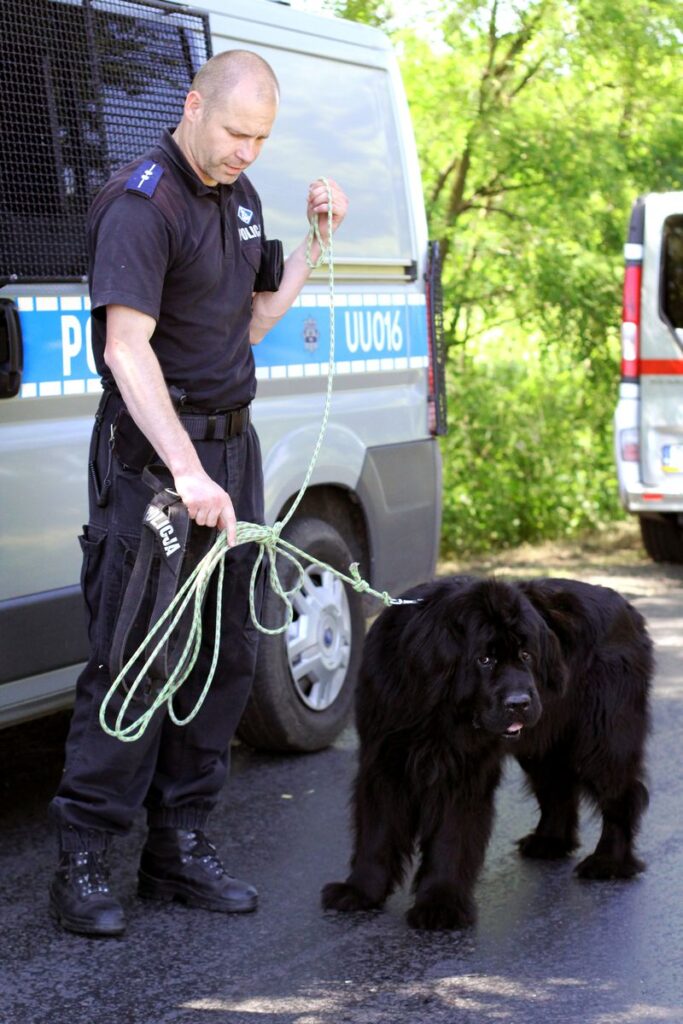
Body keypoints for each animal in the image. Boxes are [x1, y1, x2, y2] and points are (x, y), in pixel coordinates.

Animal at [323, 581, 655, 933]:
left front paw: (441, 905)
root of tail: (627, 608)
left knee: (622, 797)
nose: (519, 702)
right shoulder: (383, 762)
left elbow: (451, 838)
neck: (437, 711)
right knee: (558, 788)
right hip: (542, 743)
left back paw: (609, 862)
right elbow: (376, 832)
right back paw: (550, 842)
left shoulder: (463, 773)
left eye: (526, 655)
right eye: (484, 659)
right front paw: (360, 891)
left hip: (601, 741)